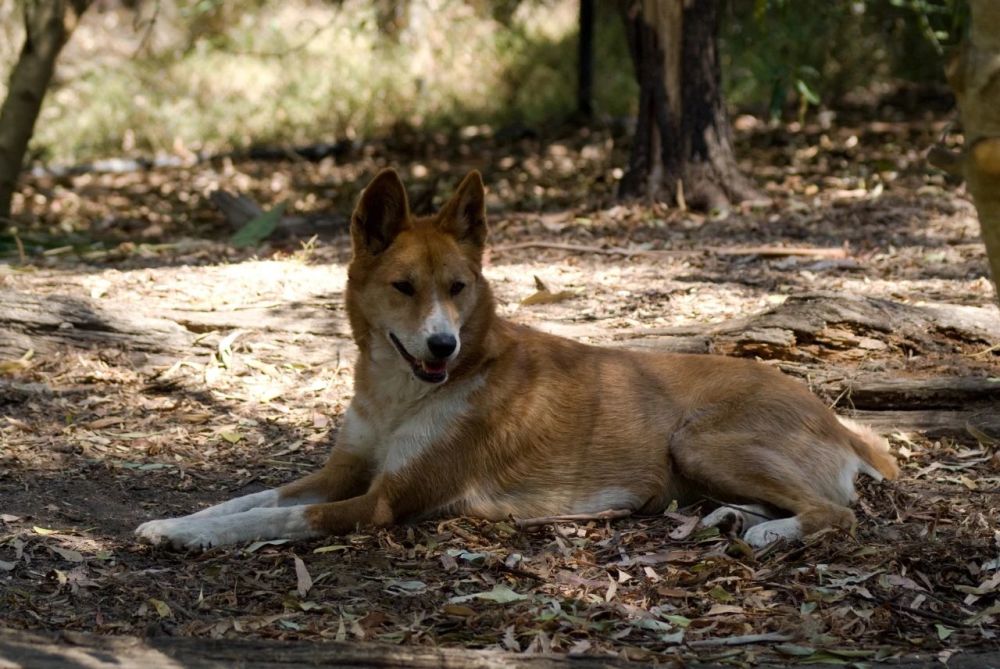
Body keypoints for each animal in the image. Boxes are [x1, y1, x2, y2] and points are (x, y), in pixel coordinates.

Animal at [135, 168, 900, 548]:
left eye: (457, 288)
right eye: (404, 288)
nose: (442, 344)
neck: (400, 394)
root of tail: (837, 418)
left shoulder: (381, 501)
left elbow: (271, 519)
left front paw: (188, 537)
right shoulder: (340, 471)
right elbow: (249, 498)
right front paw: (177, 521)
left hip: (702, 439)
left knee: (838, 514)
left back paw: (769, 534)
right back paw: (735, 519)